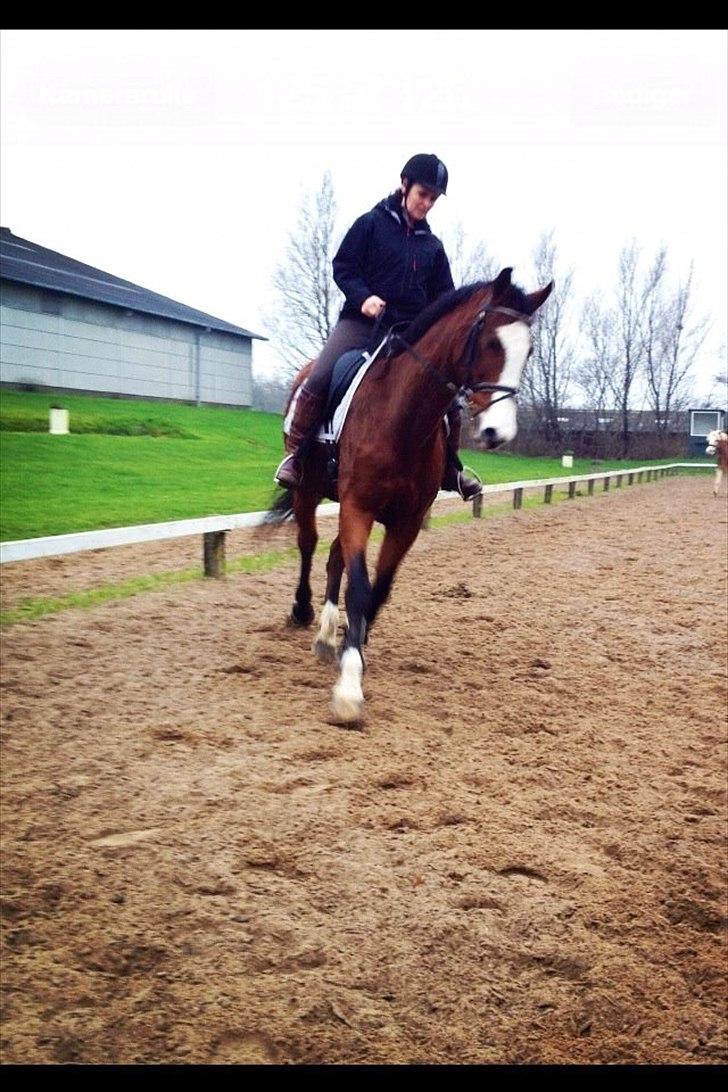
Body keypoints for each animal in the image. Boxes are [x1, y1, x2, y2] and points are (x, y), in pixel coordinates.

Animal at [267, 267, 552, 720]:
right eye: (491, 342)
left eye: (529, 350)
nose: (498, 433)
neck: (401, 420)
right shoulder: (358, 507)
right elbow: (359, 587)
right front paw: (349, 688)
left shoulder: (406, 522)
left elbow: (378, 590)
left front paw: (353, 647)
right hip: (308, 491)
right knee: (308, 543)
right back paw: (302, 611)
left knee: (333, 556)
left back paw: (328, 635)